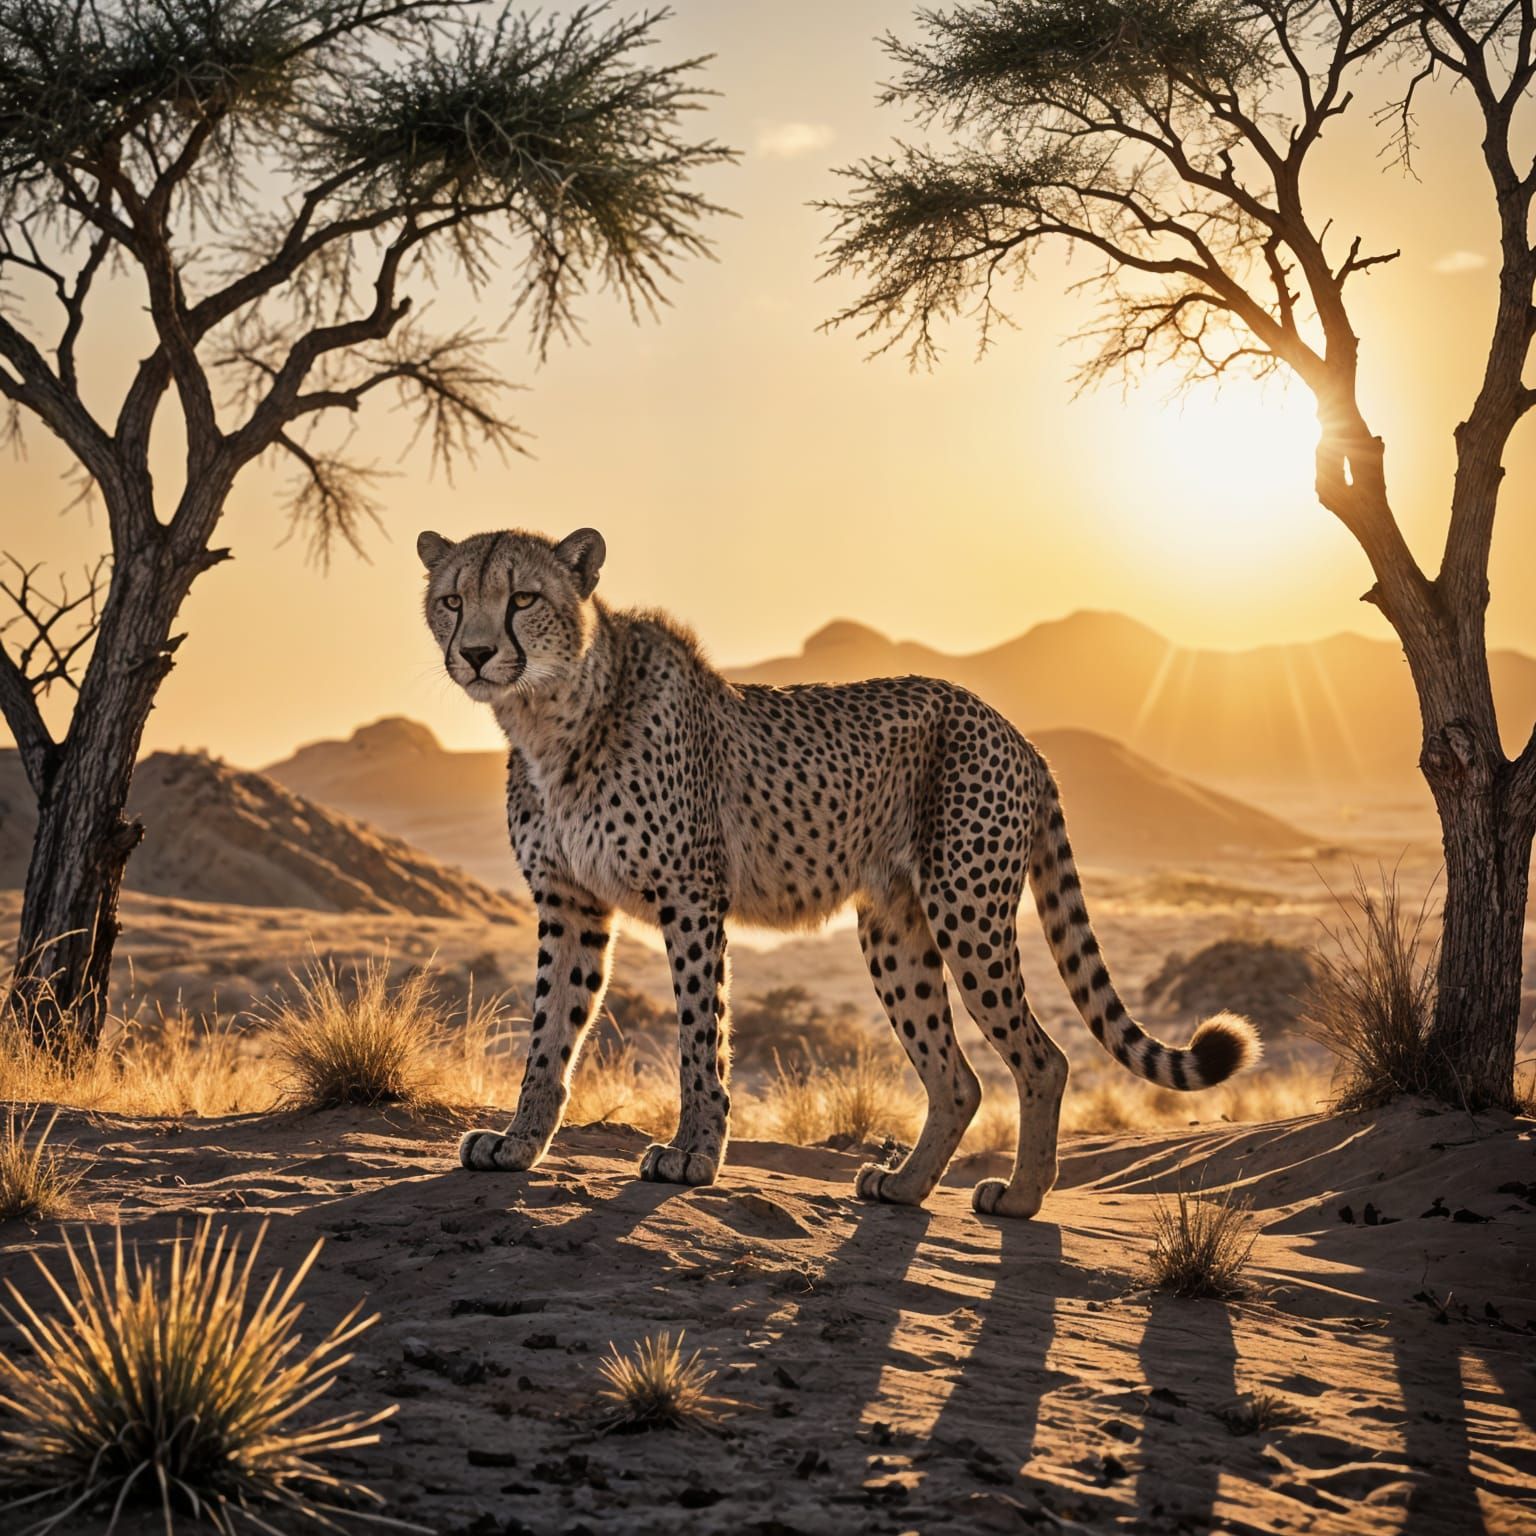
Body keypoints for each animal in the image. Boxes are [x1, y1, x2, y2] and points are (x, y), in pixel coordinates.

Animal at [417, 525, 1260, 1217]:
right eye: (454, 600)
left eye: (524, 598)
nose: (478, 653)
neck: (552, 714)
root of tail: (1011, 728)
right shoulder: (570, 904)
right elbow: (550, 1028)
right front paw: (517, 1144)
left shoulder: (691, 897)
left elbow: (699, 1033)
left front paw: (693, 1156)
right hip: (894, 930)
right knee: (957, 1077)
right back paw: (907, 1186)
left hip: (967, 908)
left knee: (1042, 1057)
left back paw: (1020, 1198)